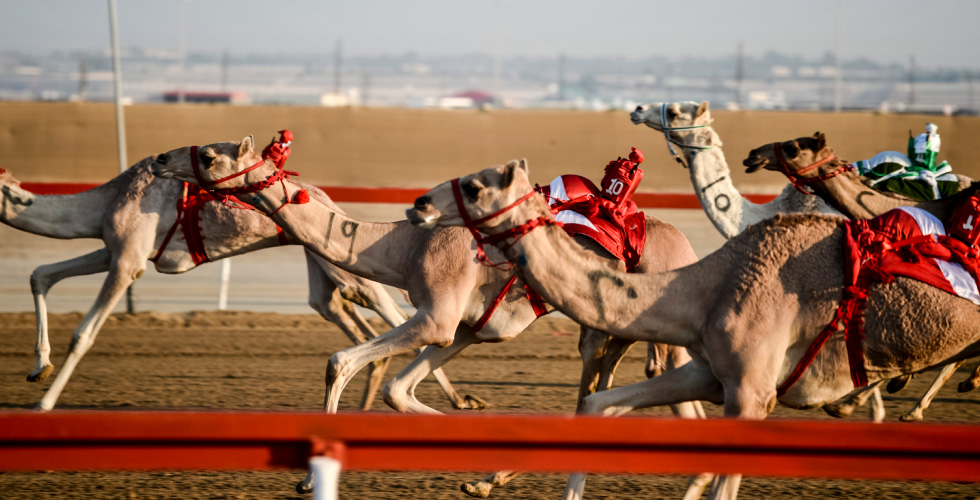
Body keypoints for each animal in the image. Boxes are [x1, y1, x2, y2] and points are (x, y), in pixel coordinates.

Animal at [0, 158, 474, 412]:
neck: (105, 202)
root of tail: (328, 200)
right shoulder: (112, 250)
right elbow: (40, 273)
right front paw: (37, 368)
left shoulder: (129, 260)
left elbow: (84, 334)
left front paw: (43, 403)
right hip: (320, 263)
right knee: (337, 307)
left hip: (345, 263)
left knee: (389, 307)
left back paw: (459, 399)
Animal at [149, 134, 708, 496]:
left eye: (207, 154)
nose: (159, 158)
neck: (402, 247)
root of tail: (685, 246)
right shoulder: (464, 329)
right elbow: (399, 392)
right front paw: (483, 471)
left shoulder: (436, 316)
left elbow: (340, 360)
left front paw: (310, 476)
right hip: (607, 331)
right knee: (606, 386)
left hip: (658, 329)